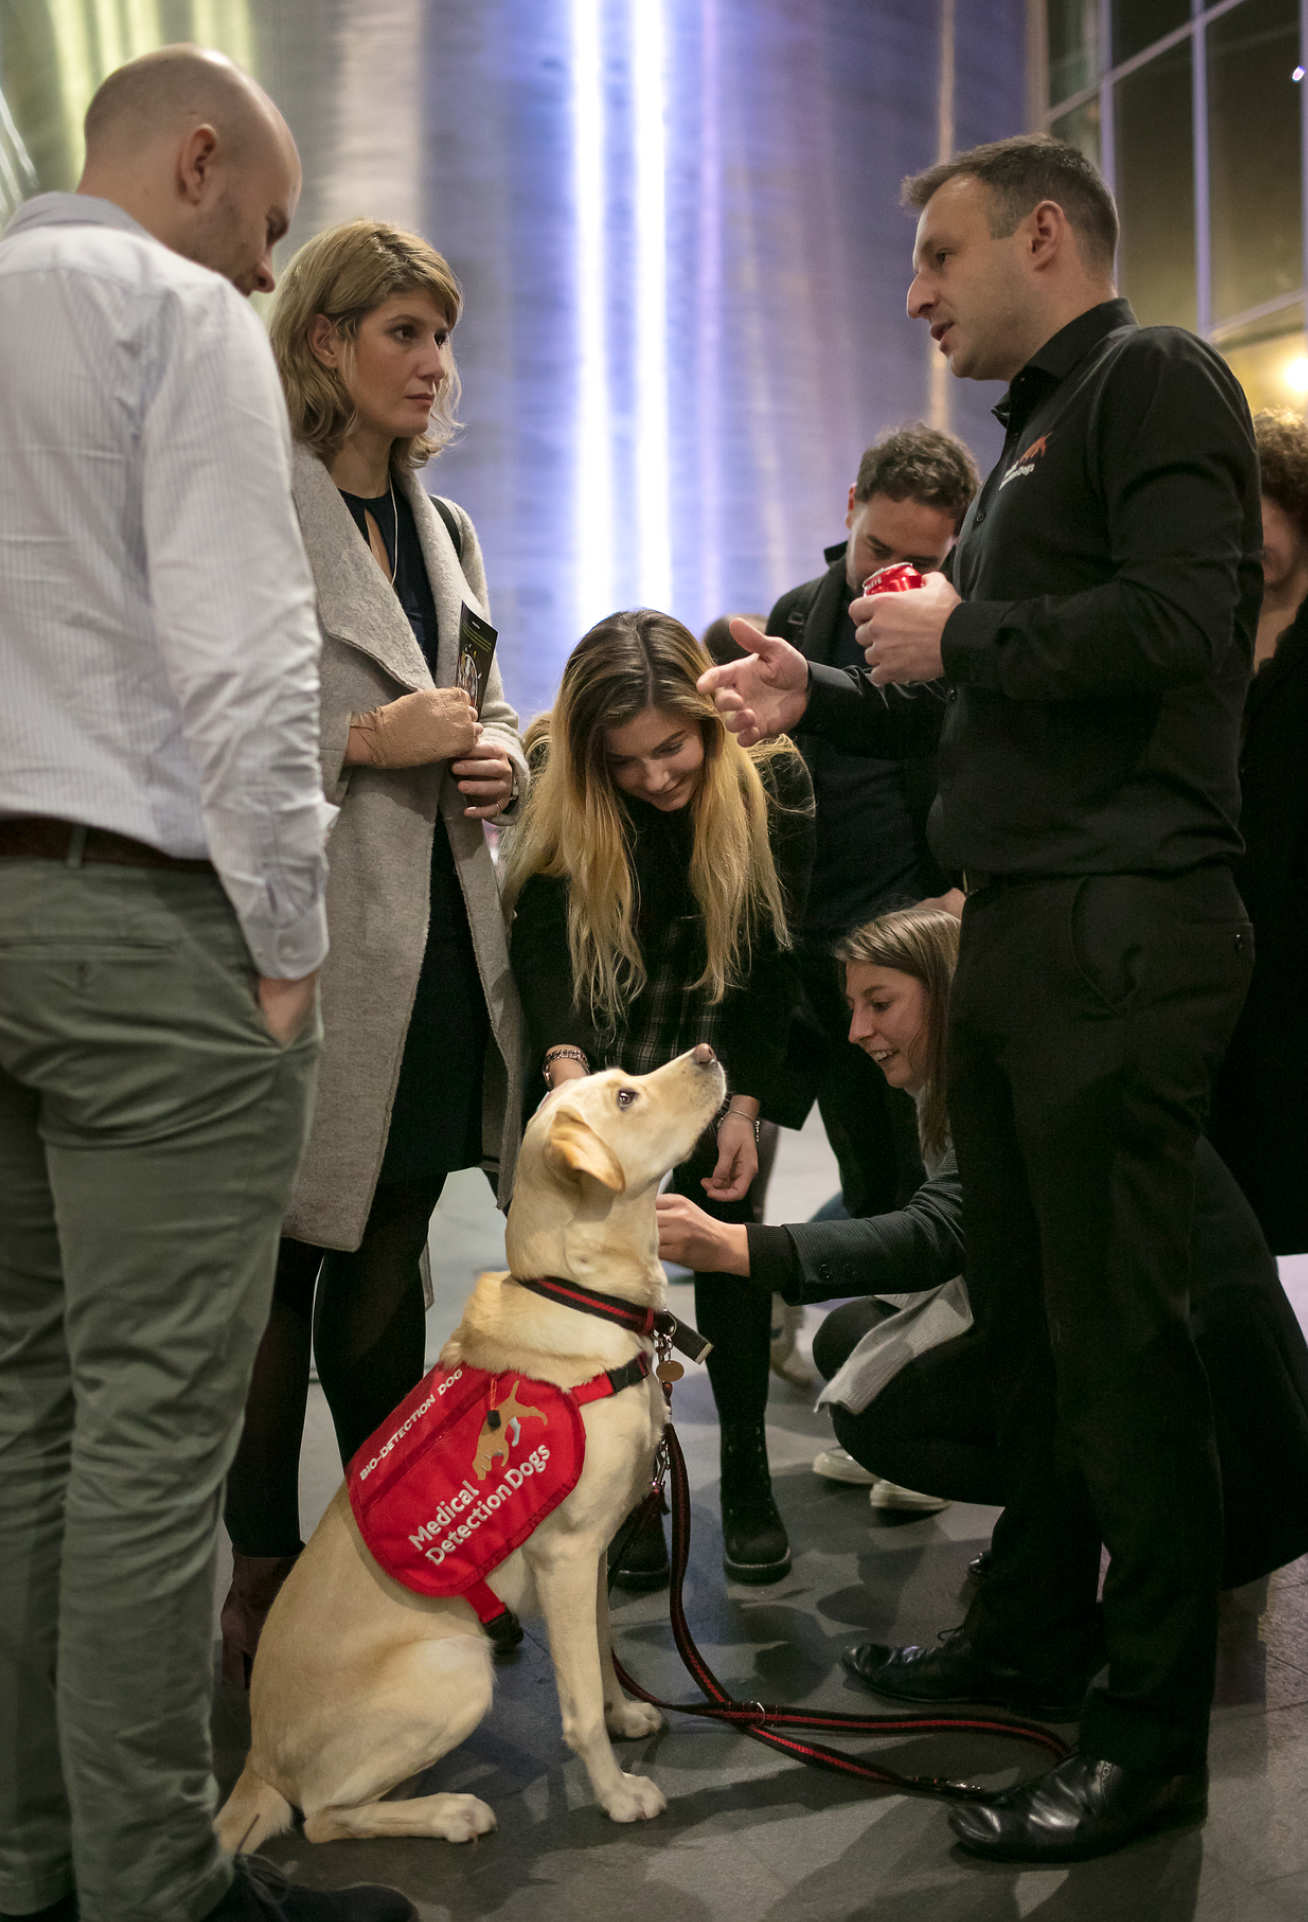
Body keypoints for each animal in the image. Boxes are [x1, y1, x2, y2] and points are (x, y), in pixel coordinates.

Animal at [215, 1045, 726, 1852]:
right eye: (625, 1096)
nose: (707, 1052)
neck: (577, 1298)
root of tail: (257, 1759)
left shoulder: (589, 1561)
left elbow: (602, 1657)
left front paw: (627, 1716)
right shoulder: (569, 1556)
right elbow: (579, 1709)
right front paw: (615, 1794)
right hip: (457, 1666)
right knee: (323, 1819)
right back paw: (451, 1811)